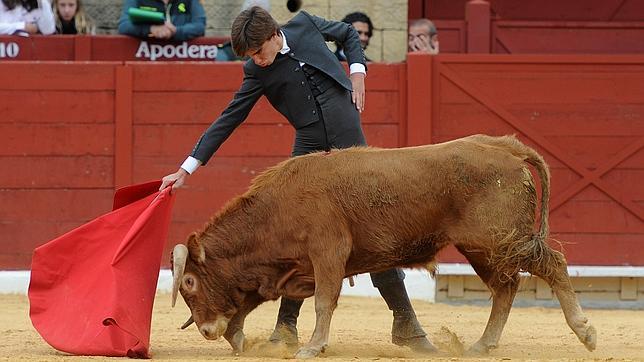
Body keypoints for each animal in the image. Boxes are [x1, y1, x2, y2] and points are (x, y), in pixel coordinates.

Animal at [172, 134, 600, 358]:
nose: (206, 330)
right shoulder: (284, 270)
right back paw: (483, 344)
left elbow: (324, 301)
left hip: (501, 237)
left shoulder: (327, 253)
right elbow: (250, 302)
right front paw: (240, 338)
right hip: (482, 247)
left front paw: (313, 346)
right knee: (506, 286)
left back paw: (585, 331)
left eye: (189, 282)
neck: (277, 207)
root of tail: (503, 146)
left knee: (553, 264)